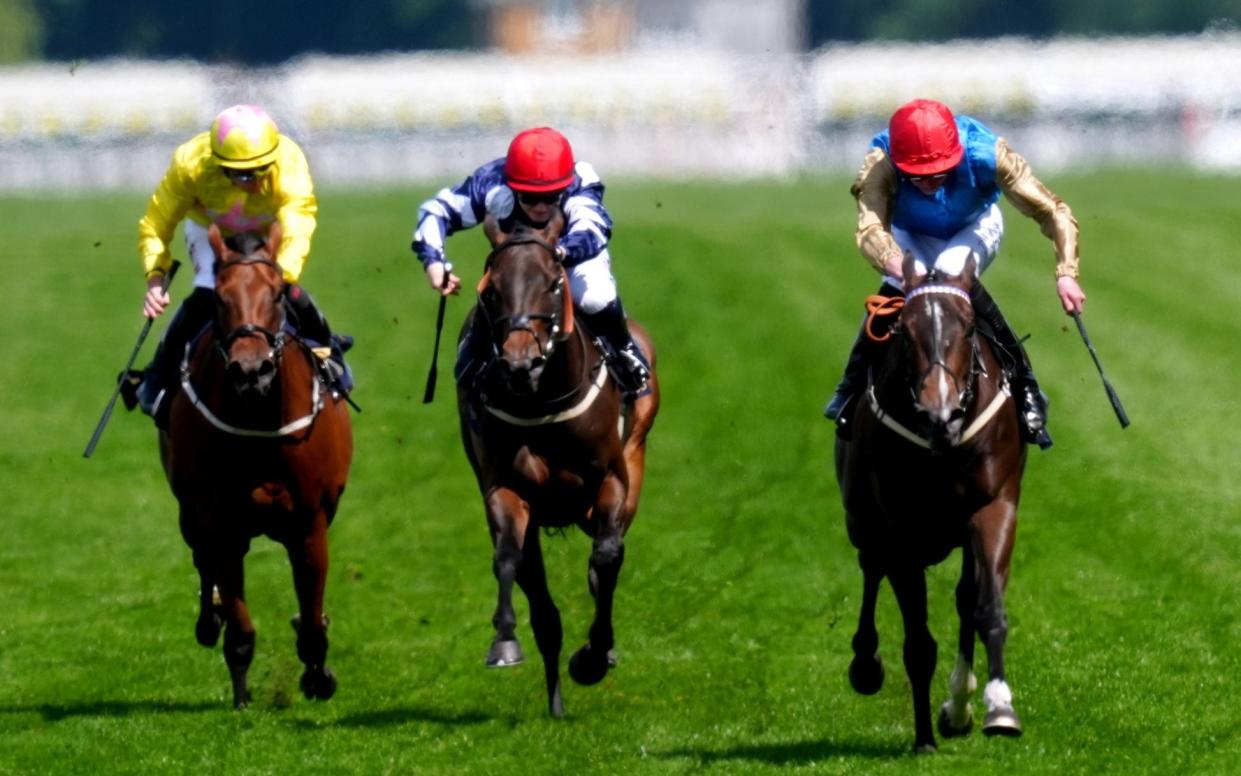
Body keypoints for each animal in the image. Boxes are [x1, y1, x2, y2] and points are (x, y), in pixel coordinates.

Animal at [158, 221, 354, 705]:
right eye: (219, 297)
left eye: (279, 293)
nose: (251, 370)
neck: (260, 420)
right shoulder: (221, 522)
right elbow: (240, 628)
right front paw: (243, 694)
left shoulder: (309, 524)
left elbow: (312, 621)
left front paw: (317, 674)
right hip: (190, 510)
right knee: (202, 560)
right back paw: (209, 617)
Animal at [459, 209, 660, 715]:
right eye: (491, 290)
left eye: (553, 282)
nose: (520, 362)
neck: (541, 402)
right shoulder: (505, 488)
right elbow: (509, 558)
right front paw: (504, 643)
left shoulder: (611, 479)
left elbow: (607, 557)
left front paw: (593, 656)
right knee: (540, 593)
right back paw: (555, 701)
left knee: (606, 559)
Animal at [833, 257, 1027, 754]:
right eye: (903, 332)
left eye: (969, 327)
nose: (942, 415)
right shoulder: (900, 533)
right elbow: (918, 644)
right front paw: (923, 739)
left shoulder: (993, 507)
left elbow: (986, 608)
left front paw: (998, 708)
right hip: (862, 520)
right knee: (870, 567)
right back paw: (866, 664)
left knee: (964, 597)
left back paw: (959, 705)